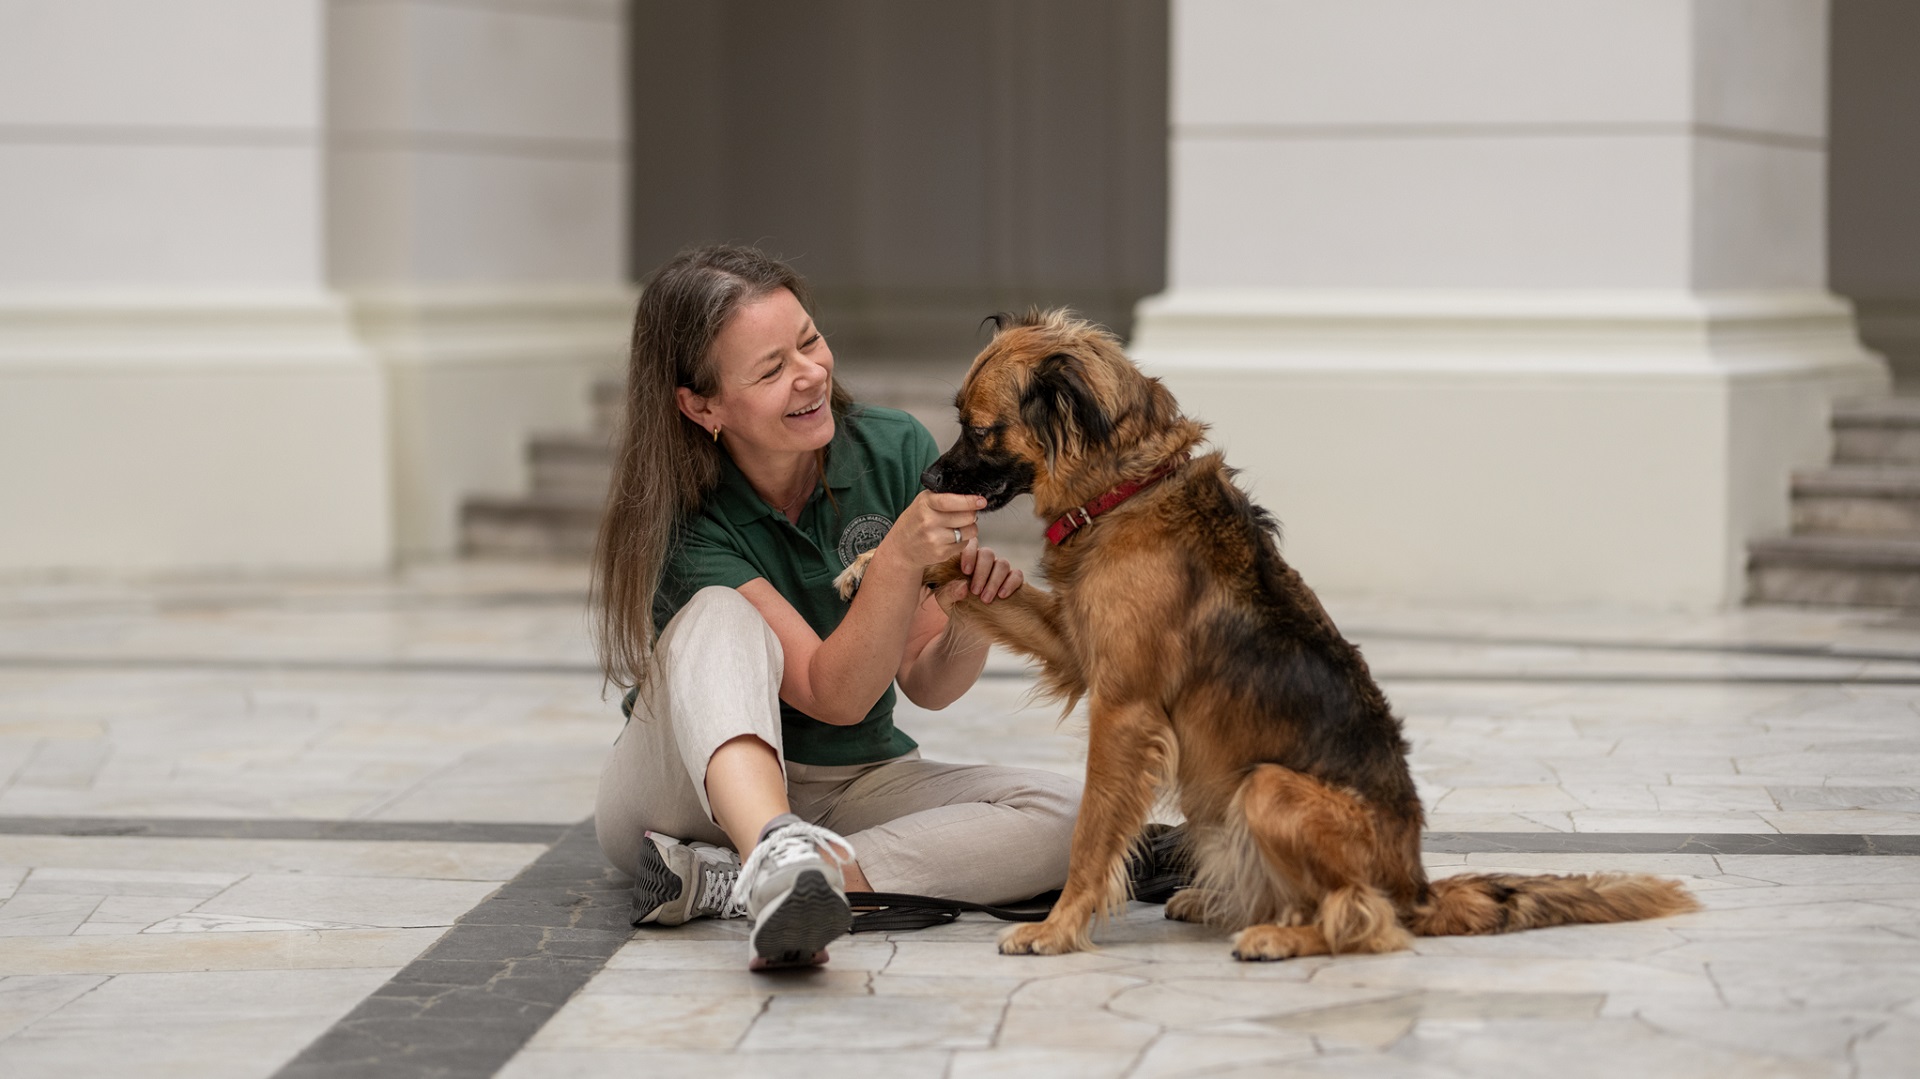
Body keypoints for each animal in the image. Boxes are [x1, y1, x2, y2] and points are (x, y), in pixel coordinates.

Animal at [840, 307, 1697, 952]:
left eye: (981, 430)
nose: (927, 479)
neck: (1126, 488)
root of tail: (1416, 881)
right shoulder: (1076, 647)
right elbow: (970, 576)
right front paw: (879, 567)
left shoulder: (1122, 707)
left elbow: (1090, 831)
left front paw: (1057, 926)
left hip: (1269, 786)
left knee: (1365, 918)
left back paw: (1283, 934)